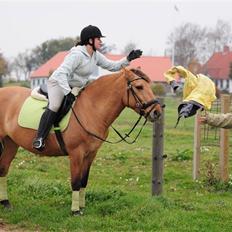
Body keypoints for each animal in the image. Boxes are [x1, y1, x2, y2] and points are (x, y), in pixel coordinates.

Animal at [0, 68, 162, 215]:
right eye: (139, 87)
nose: (157, 112)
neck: (91, 110)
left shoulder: (90, 154)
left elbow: (84, 180)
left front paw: (82, 207)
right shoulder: (76, 154)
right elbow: (75, 182)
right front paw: (75, 210)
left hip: (11, 143)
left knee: (3, 168)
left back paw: (5, 203)